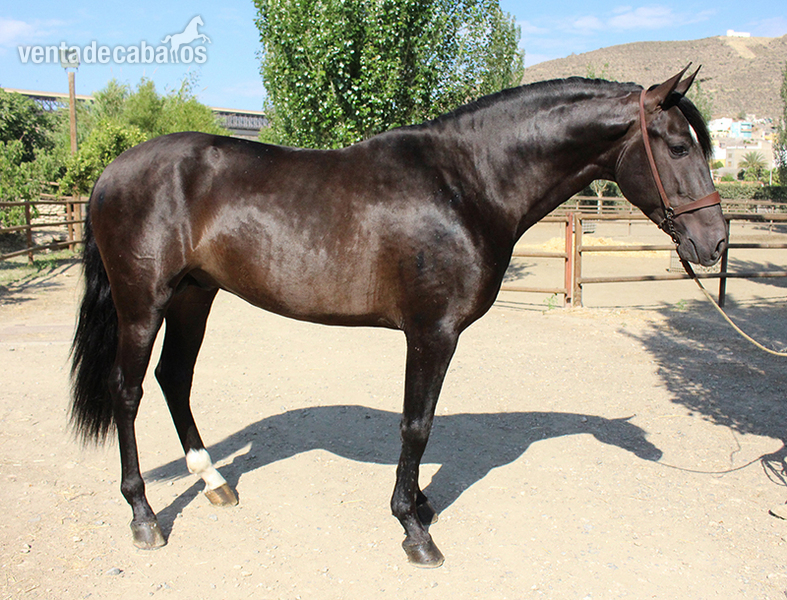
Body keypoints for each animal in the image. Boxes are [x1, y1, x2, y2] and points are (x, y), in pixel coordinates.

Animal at [70, 66, 728, 568]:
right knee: (128, 392)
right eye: (678, 146)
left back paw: (213, 484)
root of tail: (111, 173)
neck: (467, 182)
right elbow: (416, 426)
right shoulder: (432, 333)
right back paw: (144, 517)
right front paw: (414, 529)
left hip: (193, 296)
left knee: (174, 380)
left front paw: (421, 507)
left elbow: (422, 425)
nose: (715, 242)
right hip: (143, 304)